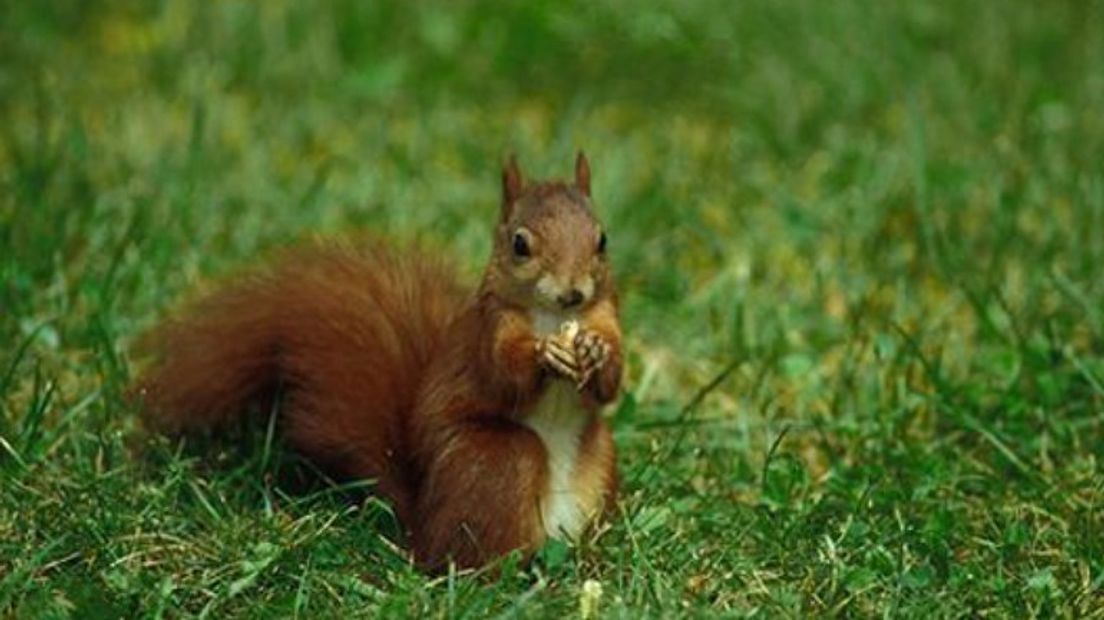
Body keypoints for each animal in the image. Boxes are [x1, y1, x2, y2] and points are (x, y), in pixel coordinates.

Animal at [135, 152, 622, 569]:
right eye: (520, 244)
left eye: (602, 239)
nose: (573, 292)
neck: (554, 317)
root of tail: (425, 532)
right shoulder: (491, 330)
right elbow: (504, 377)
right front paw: (545, 354)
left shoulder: (606, 315)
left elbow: (613, 380)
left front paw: (596, 354)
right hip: (501, 462)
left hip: (599, 461)